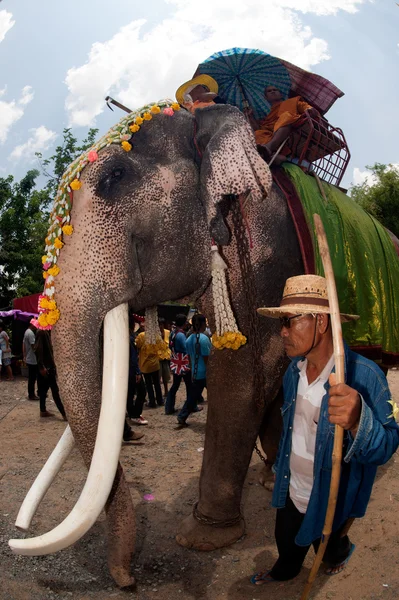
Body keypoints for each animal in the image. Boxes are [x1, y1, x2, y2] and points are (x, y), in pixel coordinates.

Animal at [8, 102, 304, 584]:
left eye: (115, 176)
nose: (127, 579)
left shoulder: (267, 251)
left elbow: (244, 368)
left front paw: (204, 537)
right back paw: (271, 476)